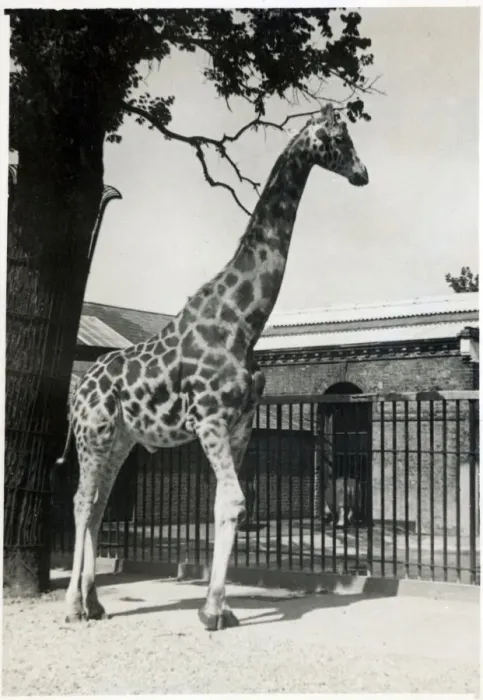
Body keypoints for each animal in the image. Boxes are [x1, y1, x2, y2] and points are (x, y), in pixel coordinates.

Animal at [58, 103, 368, 630]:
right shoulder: (210, 421)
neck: (243, 320)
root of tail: (80, 390)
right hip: (93, 435)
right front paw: (211, 610)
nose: (362, 173)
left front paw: (220, 608)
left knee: (97, 506)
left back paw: (95, 603)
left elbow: (229, 504)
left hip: (121, 440)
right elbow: (235, 501)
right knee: (81, 503)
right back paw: (73, 605)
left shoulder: (239, 424)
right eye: (339, 138)